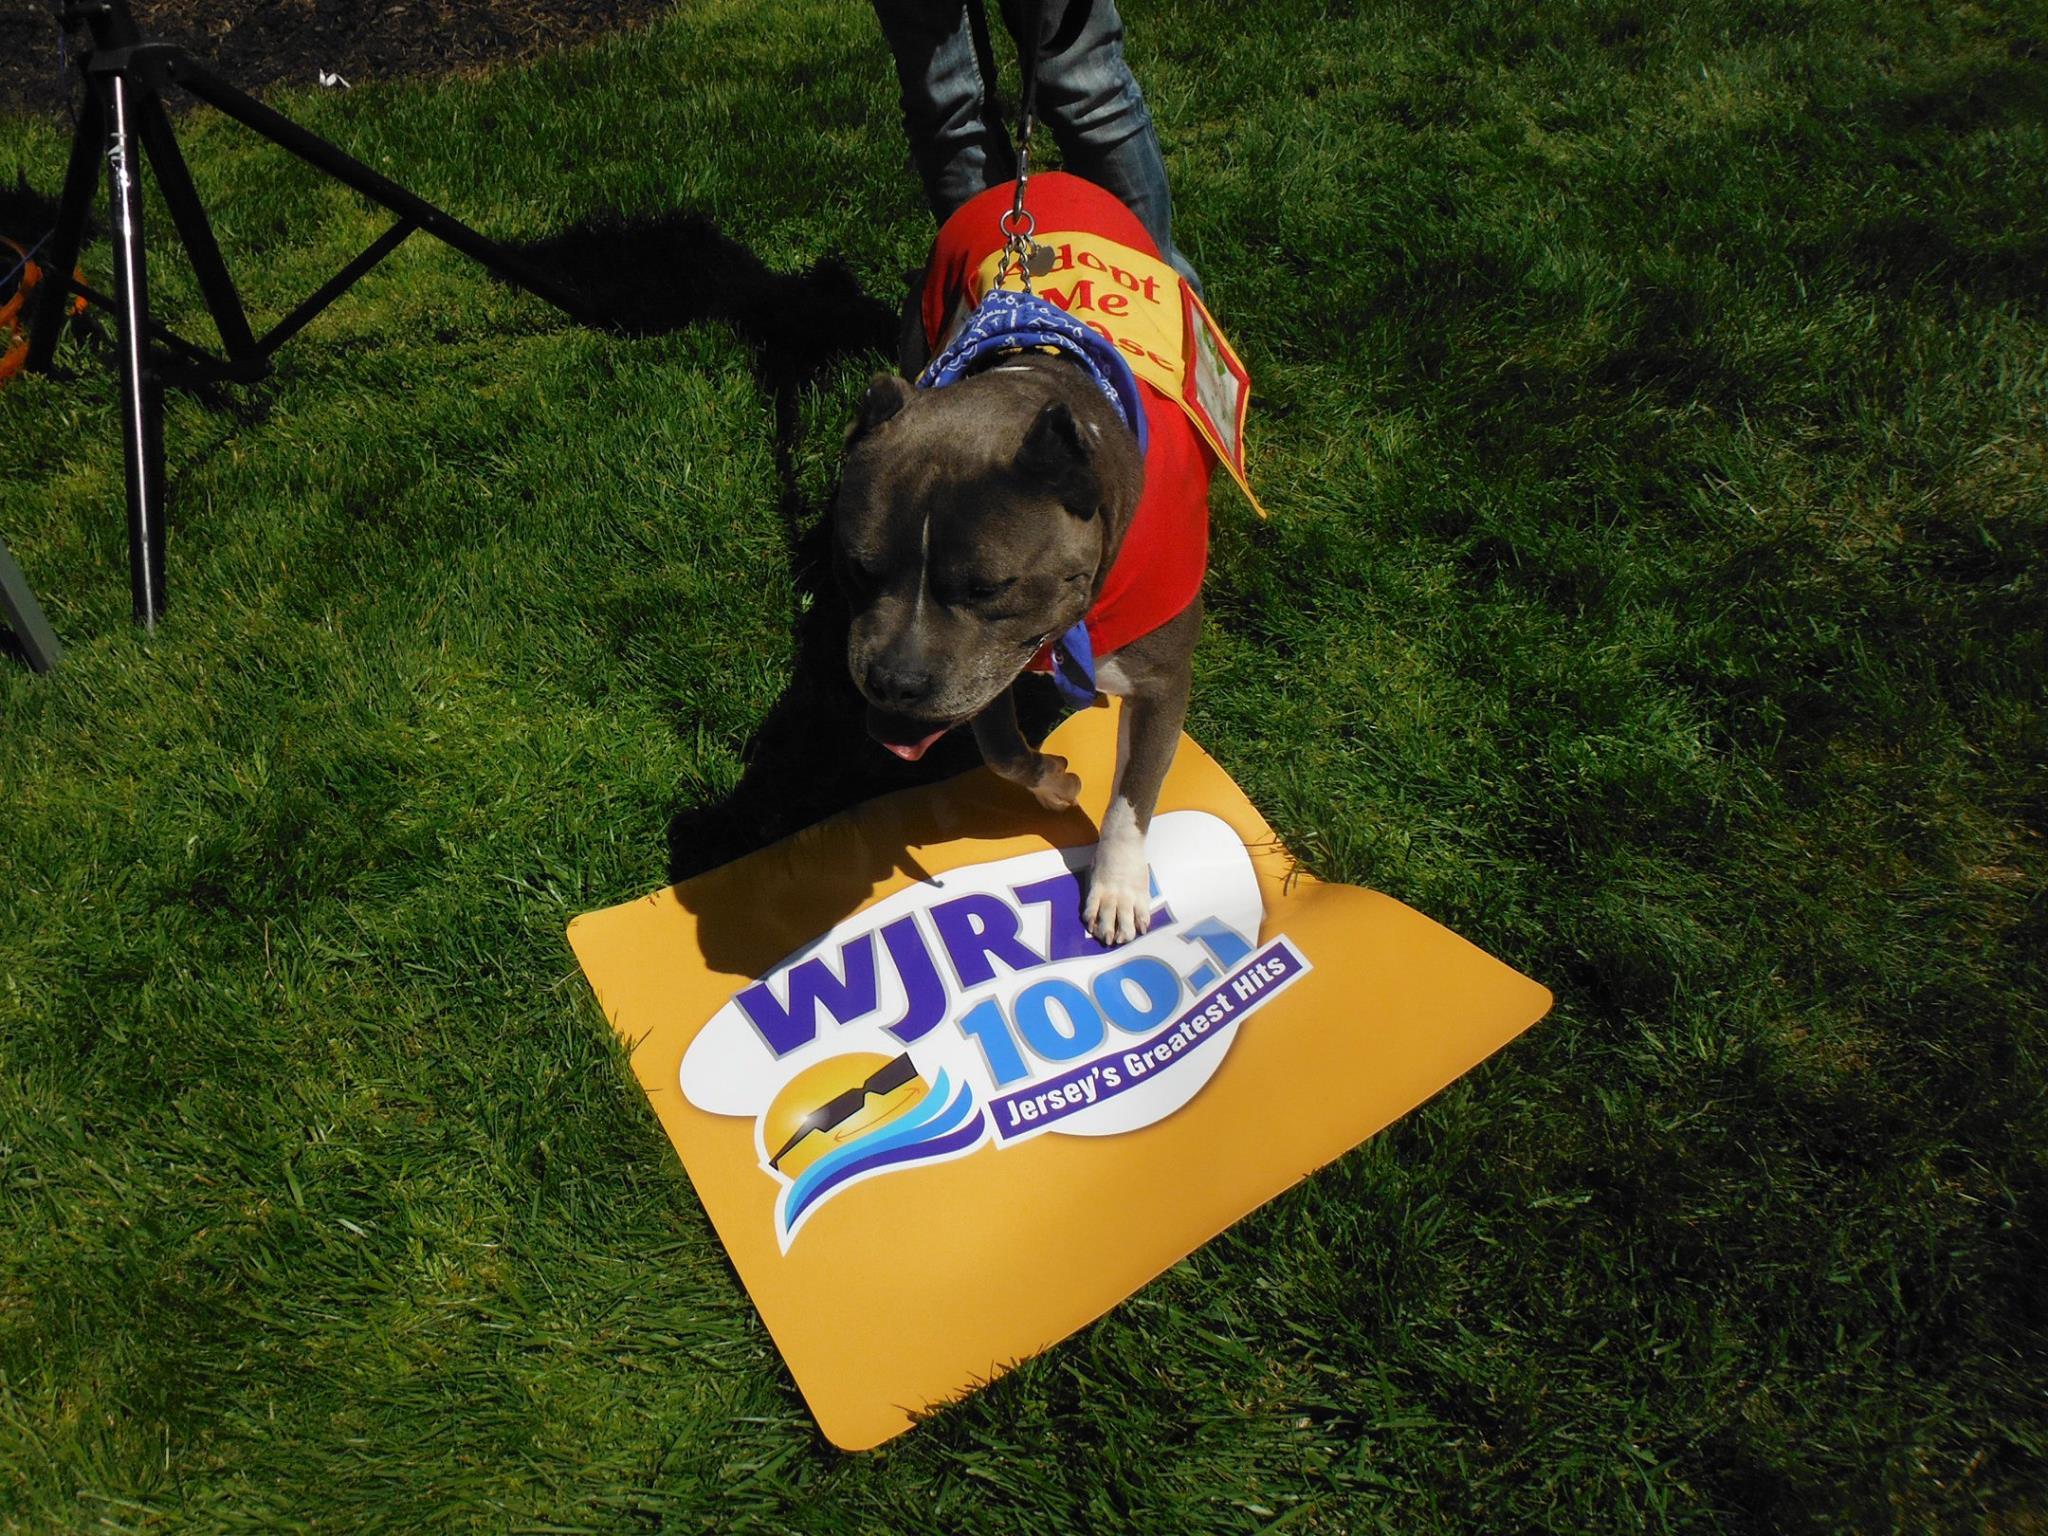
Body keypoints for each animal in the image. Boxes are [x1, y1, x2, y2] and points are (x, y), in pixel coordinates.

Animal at [831, 352, 1196, 950]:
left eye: (987, 588)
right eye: (859, 570)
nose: (893, 682)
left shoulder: (1162, 682)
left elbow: (1134, 793)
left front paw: (1117, 888)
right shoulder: (986, 673)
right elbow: (1002, 752)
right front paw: (1055, 782)